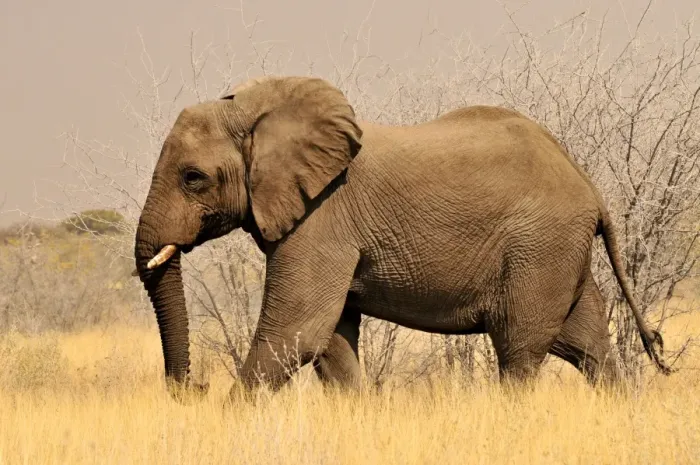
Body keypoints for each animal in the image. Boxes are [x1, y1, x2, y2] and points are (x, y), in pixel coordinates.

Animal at [133, 75, 672, 401]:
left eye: (193, 178)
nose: (195, 387)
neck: (257, 111)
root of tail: (589, 186)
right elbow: (331, 341)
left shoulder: (324, 216)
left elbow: (296, 331)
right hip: (559, 250)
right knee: (587, 345)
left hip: (540, 246)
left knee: (520, 349)